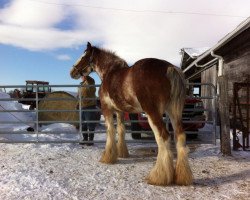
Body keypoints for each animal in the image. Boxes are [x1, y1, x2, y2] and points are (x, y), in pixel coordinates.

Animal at [70, 42, 193, 186]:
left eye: (84, 55)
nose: (72, 72)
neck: (110, 72)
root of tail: (169, 67)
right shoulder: (120, 111)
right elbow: (121, 130)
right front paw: (122, 153)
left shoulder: (107, 109)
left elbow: (110, 131)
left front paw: (108, 157)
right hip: (174, 112)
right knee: (180, 136)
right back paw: (182, 177)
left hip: (153, 113)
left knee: (163, 136)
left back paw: (158, 177)